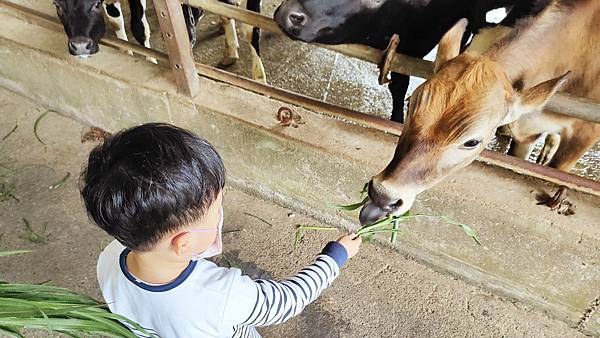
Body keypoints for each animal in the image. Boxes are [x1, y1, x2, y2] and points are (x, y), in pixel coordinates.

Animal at [53, 0, 264, 81]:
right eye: (57, 5)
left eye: (96, 4)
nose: (80, 46)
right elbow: (115, 22)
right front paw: (126, 53)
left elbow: (138, 27)